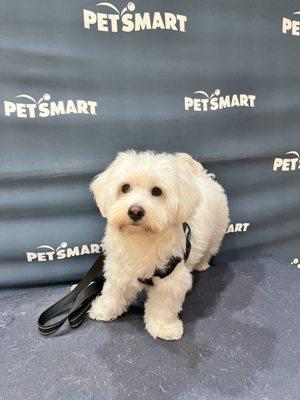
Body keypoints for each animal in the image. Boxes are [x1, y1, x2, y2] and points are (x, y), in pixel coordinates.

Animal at [88, 151, 229, 340]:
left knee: (208, 250)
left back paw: (201, 264)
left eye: (157, 191)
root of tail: (204, 176)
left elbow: (163, 305)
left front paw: (164, 327)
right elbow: (113, 291)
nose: (135, 211)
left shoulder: (171, 277)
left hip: (216, 233)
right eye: (125, 188)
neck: (141, 238)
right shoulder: (119, 268)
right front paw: (104, 310)